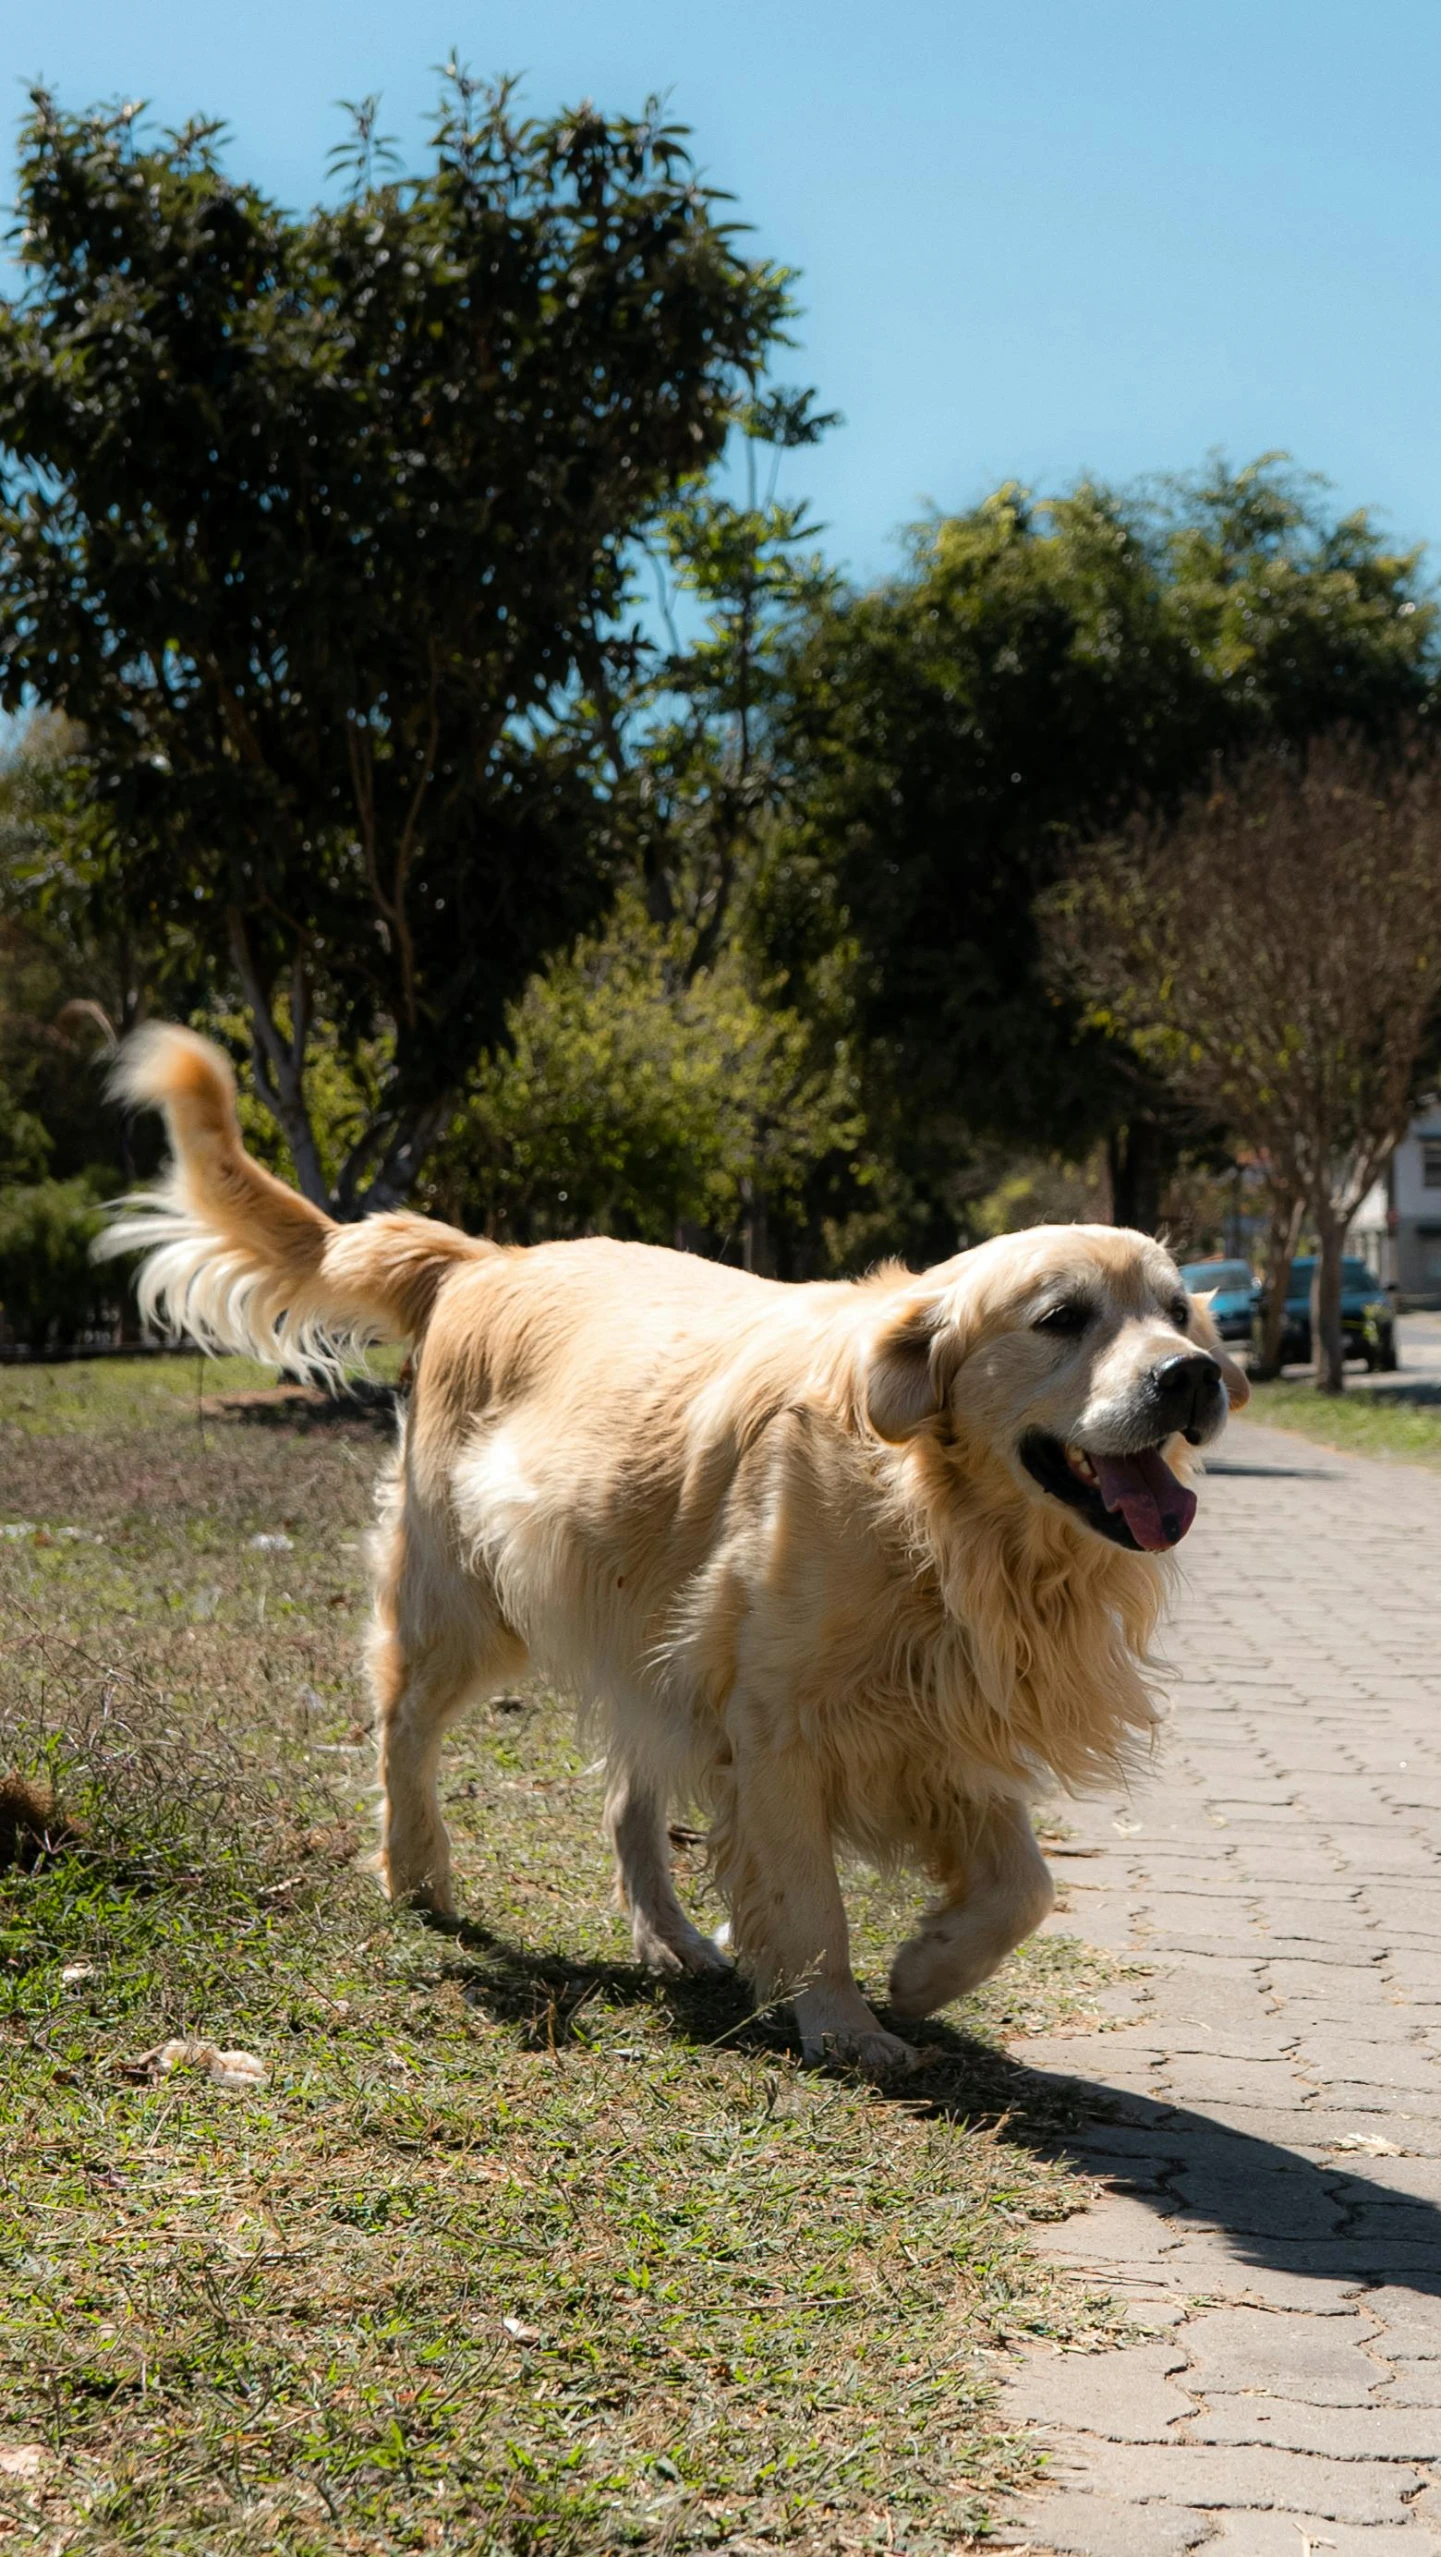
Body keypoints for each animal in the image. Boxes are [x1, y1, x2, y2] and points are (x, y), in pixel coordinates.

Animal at [106, 1027, 1241, 2066]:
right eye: (1062, 1316)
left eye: (1174, 1310)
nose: (1190, 1374)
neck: (936, 1517)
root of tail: (487, 1257)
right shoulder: (781, 1722)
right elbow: (811, 1897)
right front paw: (842, 2019)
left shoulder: (942, 1715)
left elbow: (1023, 1886)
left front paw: (924, 1969)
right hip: (468, 1601)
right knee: (404, 1725)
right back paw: (416, 1867)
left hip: (644, 1625)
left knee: (624, 1794)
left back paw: (666, 1934)